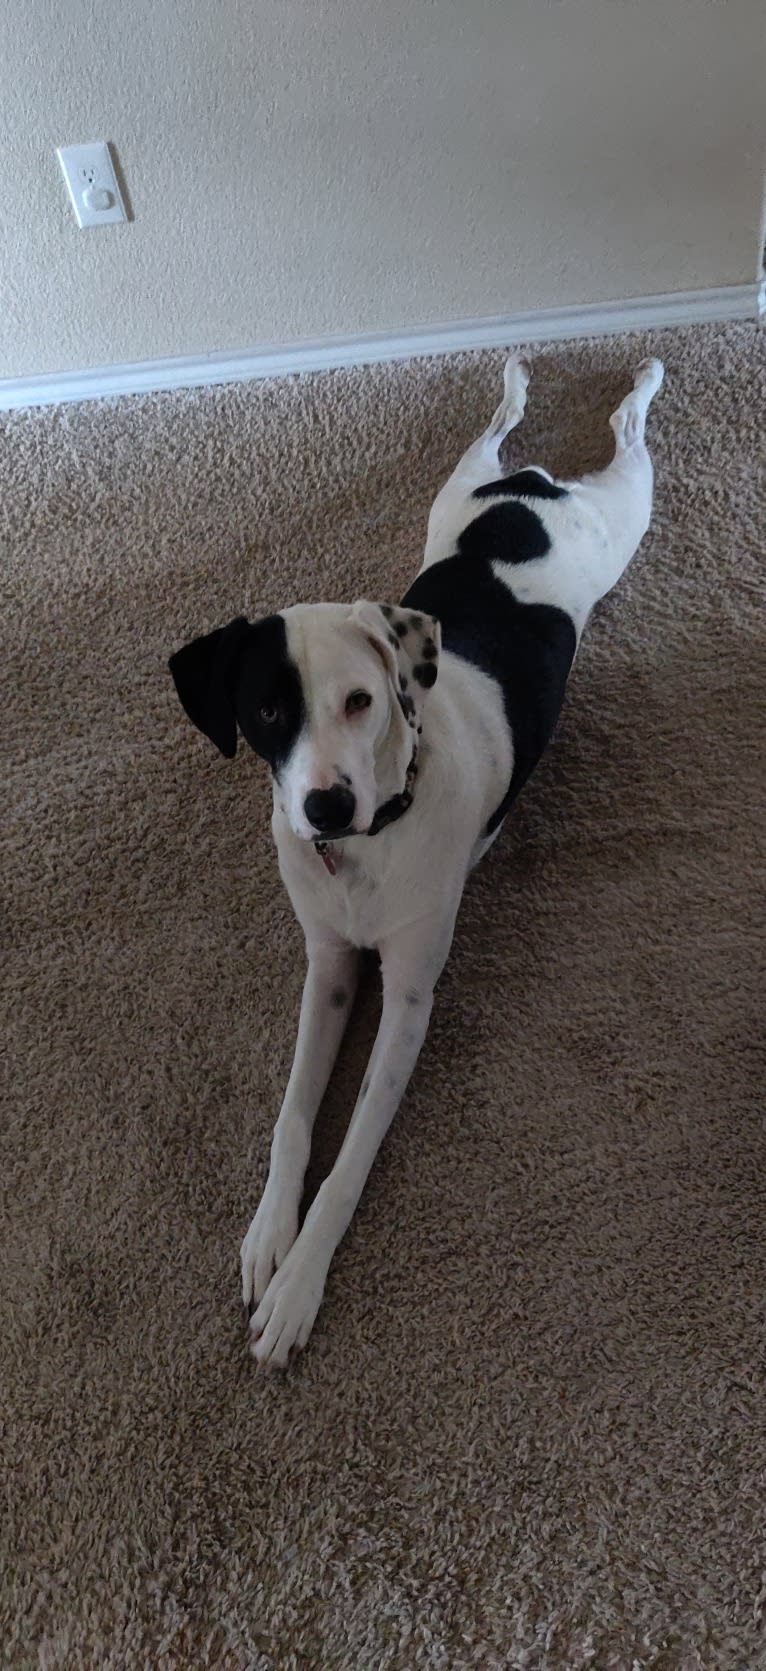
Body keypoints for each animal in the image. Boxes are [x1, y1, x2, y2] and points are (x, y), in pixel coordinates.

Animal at [168, 345, 665, 1363]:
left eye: (361, 701)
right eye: (266, 711)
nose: (325, 804)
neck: (367, 848)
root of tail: (533, 490)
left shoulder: (406, 1001)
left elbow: (349, 1158)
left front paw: (300, 1282)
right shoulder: (328, 969)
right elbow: (292, 1118)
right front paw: (269, 1232)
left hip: (621, 518)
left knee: (628, 440)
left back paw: (640, 383)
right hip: (455, 494)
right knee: (493, 434)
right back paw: (513, 386)